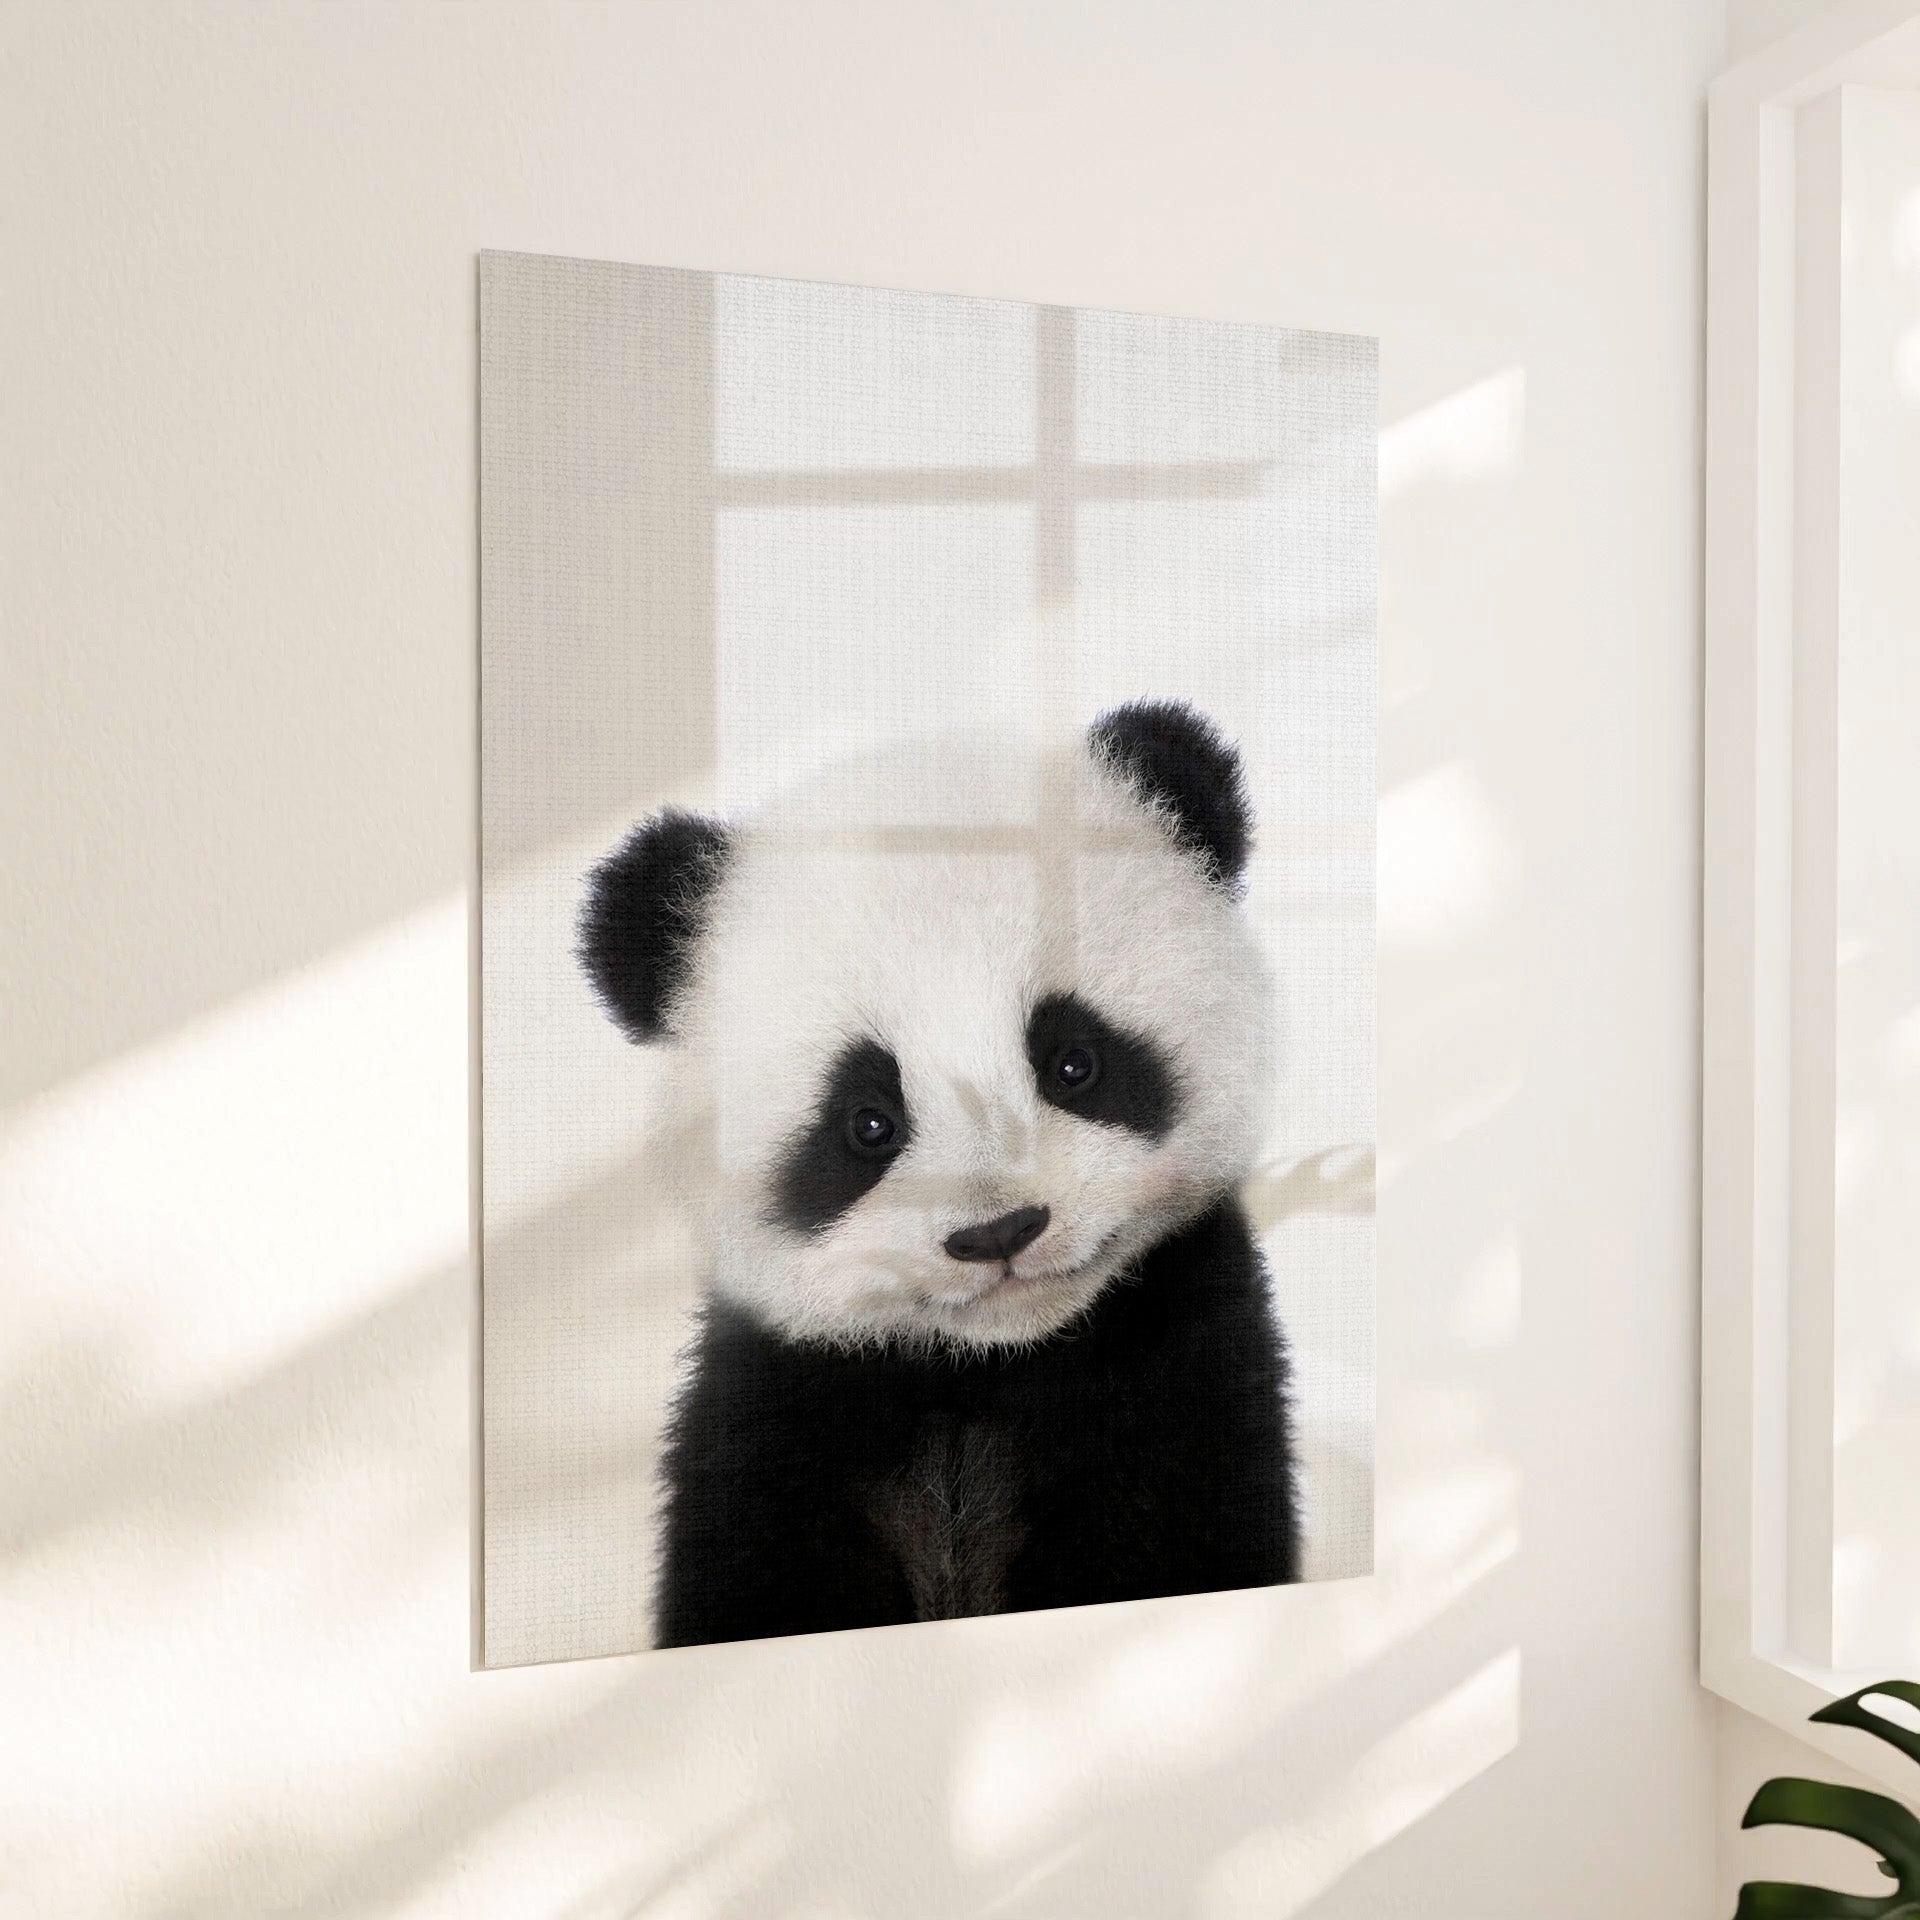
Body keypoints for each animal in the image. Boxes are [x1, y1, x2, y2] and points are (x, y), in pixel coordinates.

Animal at [579, 699, 1299, 1649]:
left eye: (1074, 1063)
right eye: (868, 1121)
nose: (998, 1233)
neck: (982, 1371)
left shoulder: (1183, 1366)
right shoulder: (773, 1416)